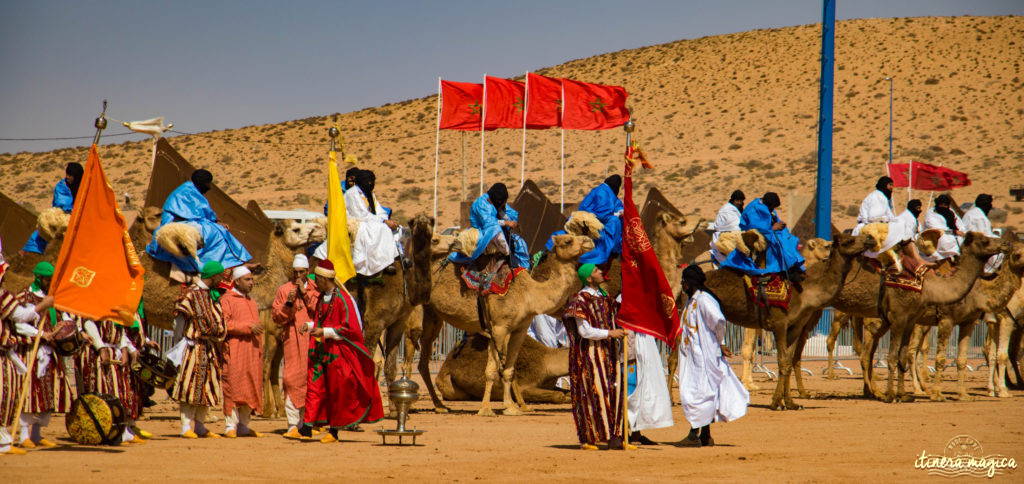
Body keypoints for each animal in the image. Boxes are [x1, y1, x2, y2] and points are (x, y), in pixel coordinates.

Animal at [704, 230, 880, 407]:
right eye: (850, 240)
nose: (870, 239)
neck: (805, 292)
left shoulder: (795, 327)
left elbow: (788, 361)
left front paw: (790, 402)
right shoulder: (779, 324)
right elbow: (782, 361)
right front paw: (777, 403)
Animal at [827, 232, 1003, 401]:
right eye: (985, 241)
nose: (1003, 244)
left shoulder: (912, 321)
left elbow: (904, 356)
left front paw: (903, 394)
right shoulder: (904, 318)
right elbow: (895, 356)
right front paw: (893, 395)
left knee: (865, 353)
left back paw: (873, 392)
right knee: (857, 350)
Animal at [909, 238, 1024, 399]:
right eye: (1018, 254)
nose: (1004, 244)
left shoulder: (993, 321)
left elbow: (991, 353)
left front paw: (992, 389)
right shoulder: (1007, 320)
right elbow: (1002, 355)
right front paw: (1002, 391)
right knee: (912, 351)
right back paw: (918, 388)